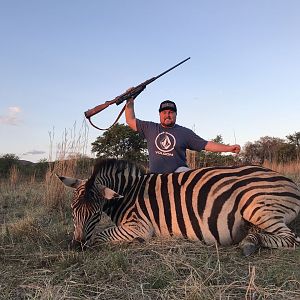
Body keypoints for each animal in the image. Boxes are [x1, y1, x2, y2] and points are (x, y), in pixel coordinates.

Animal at [58, 159, 300, 255]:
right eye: (72, 210)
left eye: (95, 213)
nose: (76, 246)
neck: (129, 193)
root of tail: (290, 182)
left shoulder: (139, 227)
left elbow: (99, 237)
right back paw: (250, 240)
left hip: (257, 207)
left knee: (292, 239)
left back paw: (250, 244)